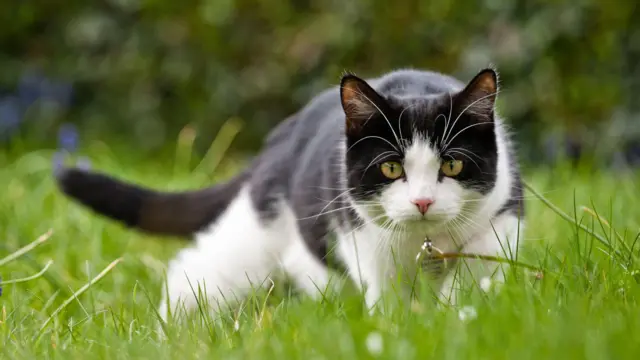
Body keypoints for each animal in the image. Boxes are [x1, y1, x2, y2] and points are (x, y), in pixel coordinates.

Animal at [55, 67, 524, 320]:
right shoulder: (363, 235)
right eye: (391, 168)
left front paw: (457, 310)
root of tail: (280, 139)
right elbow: (387, 292)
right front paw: (400, 324)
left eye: (452, 165)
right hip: (254, 234)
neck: (424, 243)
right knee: (198, 267)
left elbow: (481, 261)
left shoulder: (504, 211)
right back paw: (172, 327)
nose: (423, 201)